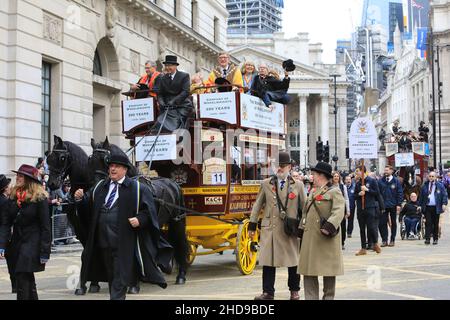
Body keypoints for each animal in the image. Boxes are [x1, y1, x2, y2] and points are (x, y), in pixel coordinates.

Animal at [46, 135, 101, 296]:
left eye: (62, 157)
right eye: (49, 157)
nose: (51, 184)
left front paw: (93, 283)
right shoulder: (78, 227)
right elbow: (85, 253)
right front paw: (84, 284)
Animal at [89, 136, 188, 284]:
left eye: (106, 159)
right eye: (90, 160)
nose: (97, 186)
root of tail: (174, 184)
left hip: (177, 221)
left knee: (181, 243)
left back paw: (181, 275)